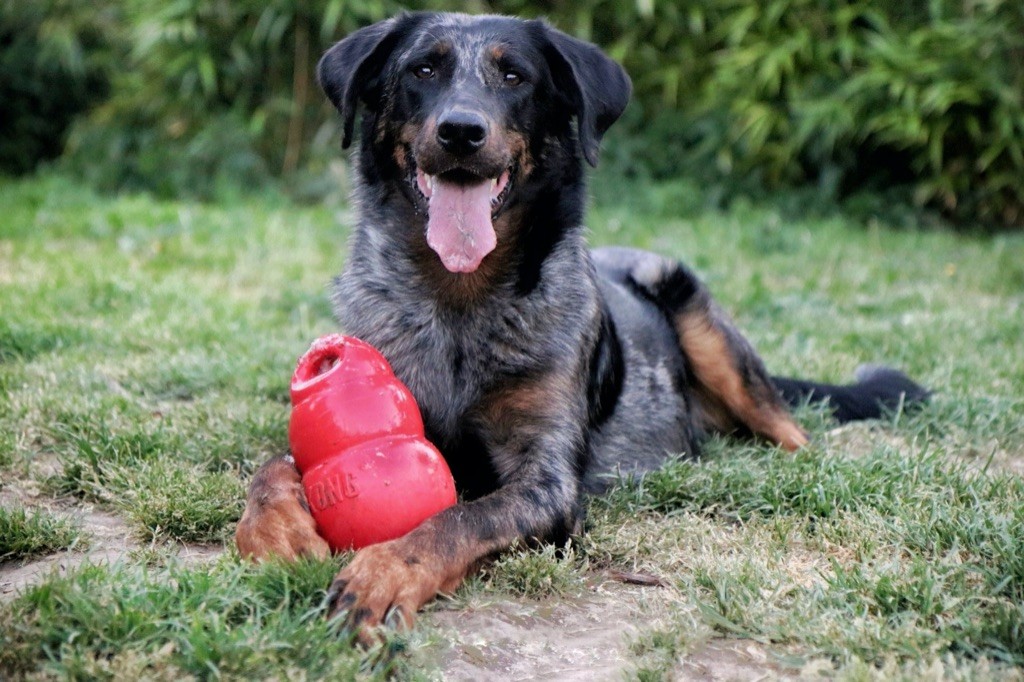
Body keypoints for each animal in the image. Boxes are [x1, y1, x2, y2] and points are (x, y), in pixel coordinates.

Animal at [234, 13, 929, 634]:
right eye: (422, 69)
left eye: (514, 76)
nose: (461, 131)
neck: (458, 300)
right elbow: (272, 465)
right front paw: (274, 531)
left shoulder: (547, 485)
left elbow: (454, 520)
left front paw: (383, 572)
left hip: (700, 318)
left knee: (790, 427)